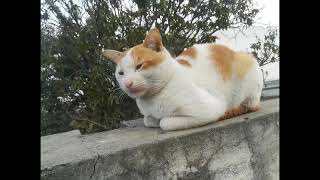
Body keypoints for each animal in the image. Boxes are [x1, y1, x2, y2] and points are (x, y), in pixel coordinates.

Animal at [102, 27, 262, 130]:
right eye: (121, 73)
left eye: (139, 66)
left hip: (247, 65)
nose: (128, 83)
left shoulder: (209, 109)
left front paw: (161, 120)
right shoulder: (148, 115)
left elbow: (164, 123)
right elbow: (148, 120)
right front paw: (153, 119)